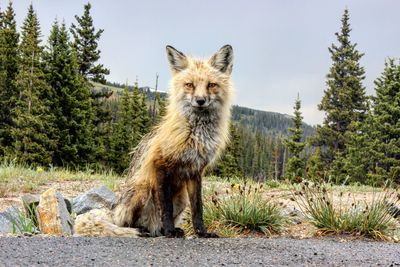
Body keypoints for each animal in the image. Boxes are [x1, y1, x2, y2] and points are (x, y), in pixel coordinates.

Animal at [73, 44, 233, 239]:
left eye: (211, 85)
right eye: (189, 85)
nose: (200, 101)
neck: (194, 135)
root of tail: (114, 210)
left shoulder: (195, 171)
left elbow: (198, 209)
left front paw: (201, 232)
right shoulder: (160, 166)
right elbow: (165, 207)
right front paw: (170, 231)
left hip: (181, 199)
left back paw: (163, 231)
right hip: (143, 188)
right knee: (130, 224)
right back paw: (147, 231)